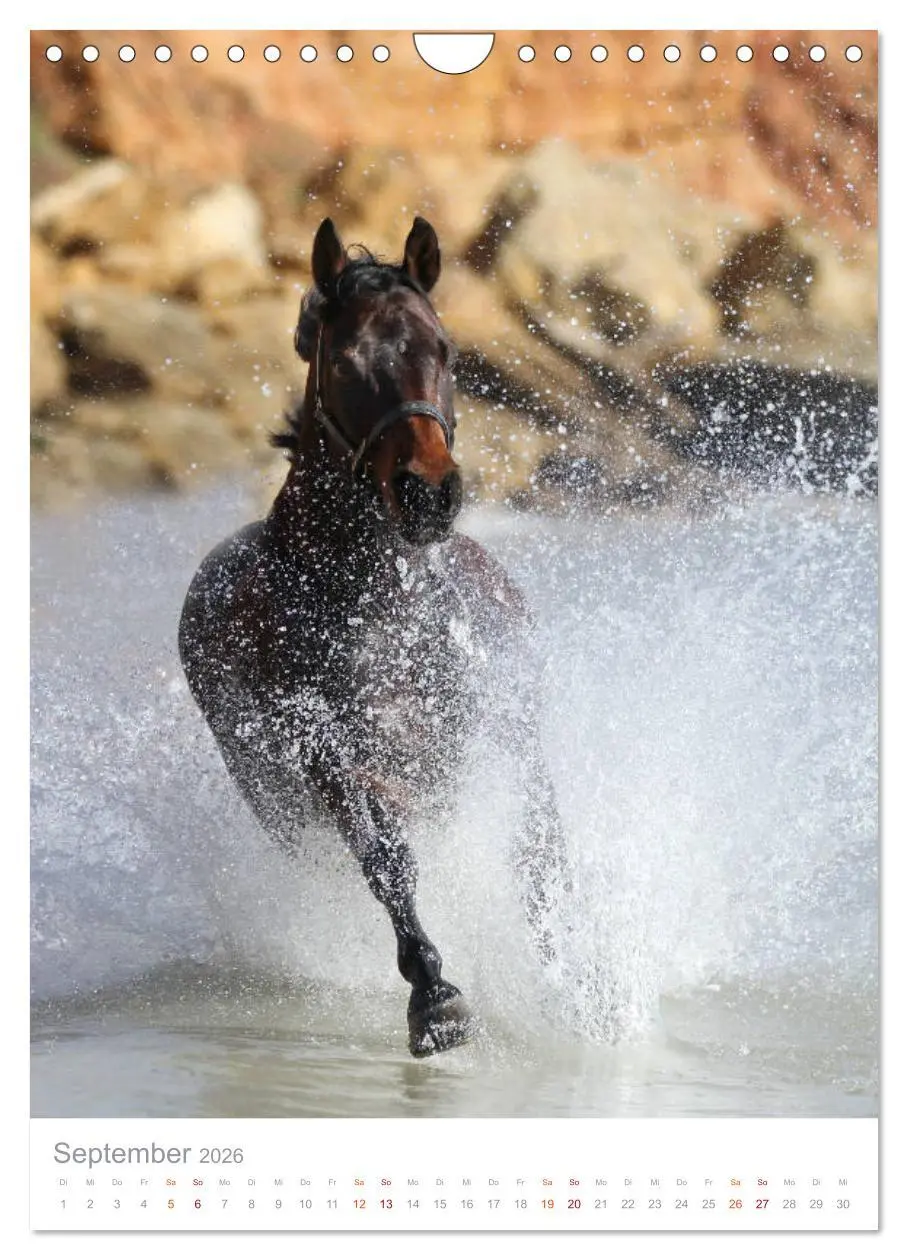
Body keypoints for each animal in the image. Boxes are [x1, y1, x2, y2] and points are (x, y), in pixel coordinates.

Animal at [178, 216, 566, 1057]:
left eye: (444, 349)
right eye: (348, 360)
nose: (429, 493)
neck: (382, 609)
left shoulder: (500, 736)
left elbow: (536, 853)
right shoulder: (331, 755)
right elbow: (389, 861)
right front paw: (437, 998)